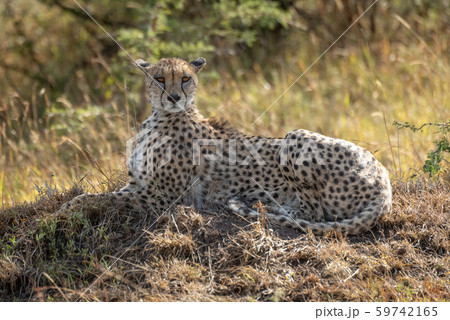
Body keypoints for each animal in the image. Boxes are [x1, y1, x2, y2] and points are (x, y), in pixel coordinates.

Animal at [61, 57, 392, 235]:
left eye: (185, 78)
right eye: (159, 79)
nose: (174, 97)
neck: (161, 116)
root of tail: (383, 179)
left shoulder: (162, 195)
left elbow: (98, 200)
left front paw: (65, 210)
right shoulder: (138, 184)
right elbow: (98, 196)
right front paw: (69, 206)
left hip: (294, 138)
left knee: (315, 214)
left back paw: (257, 206)